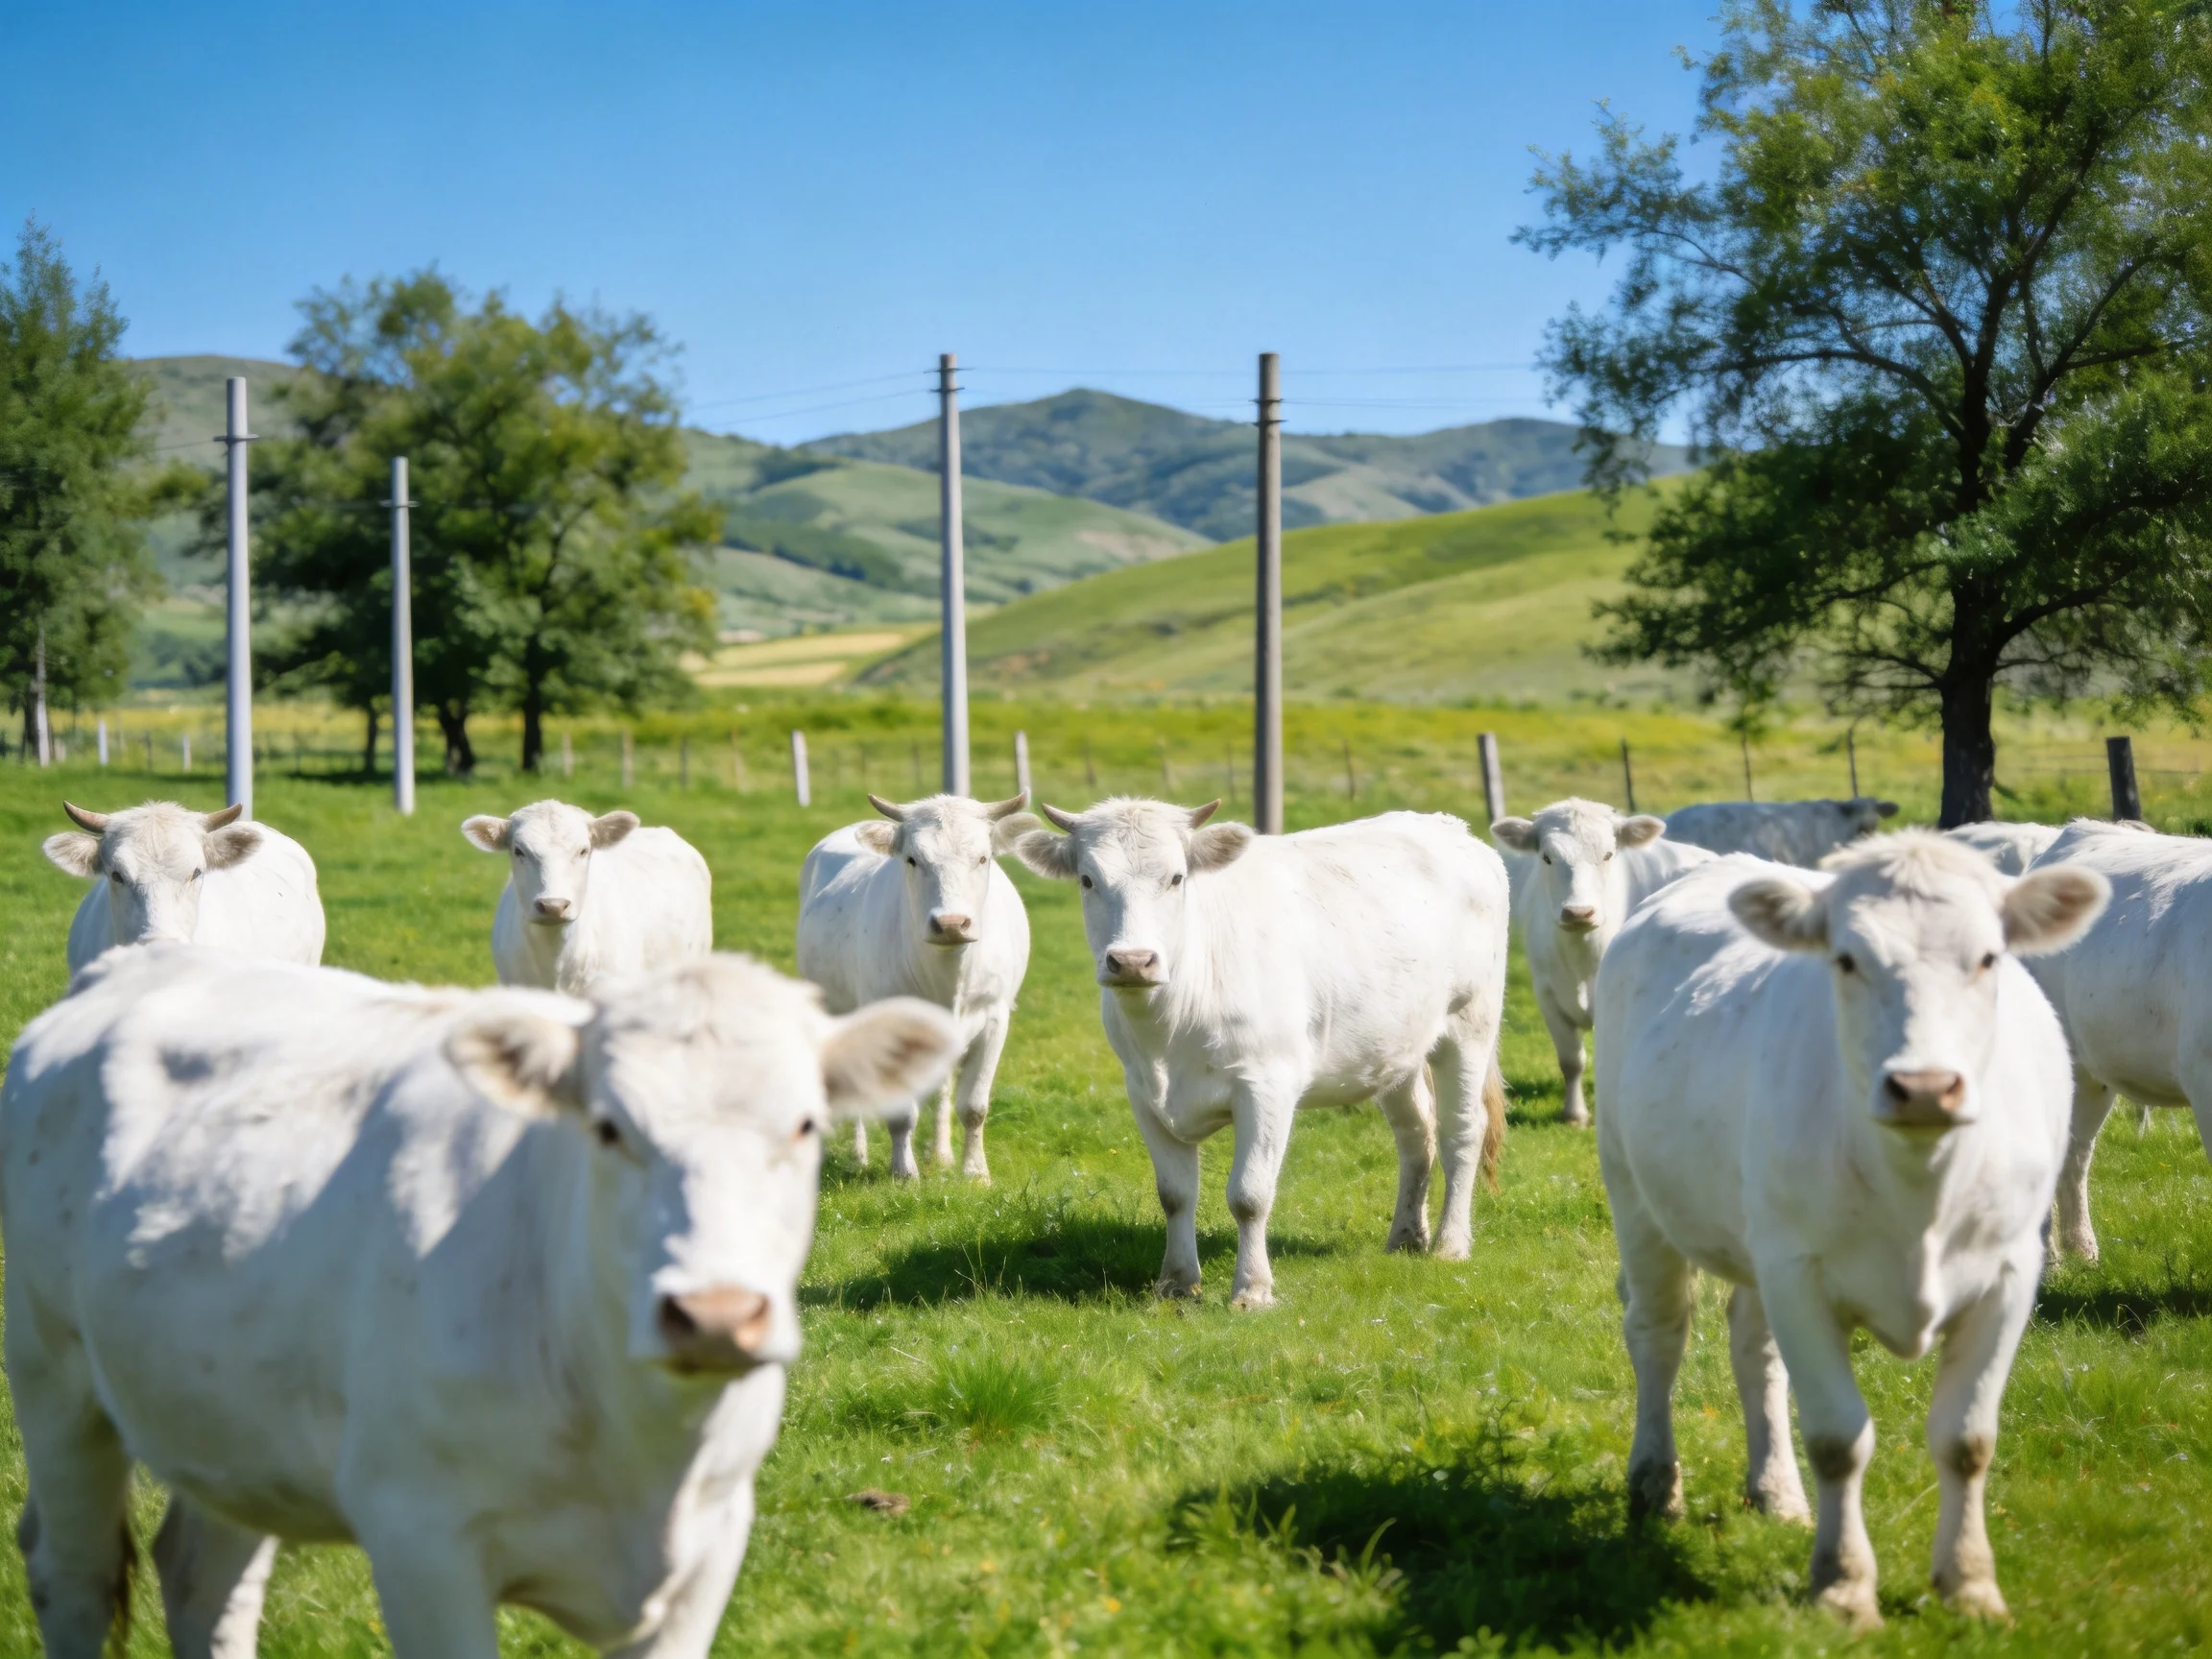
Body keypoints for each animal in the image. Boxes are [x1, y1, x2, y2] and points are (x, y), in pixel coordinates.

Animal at [0, 944, 958, 1659]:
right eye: (607, 1127)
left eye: (805, 1124)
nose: (716, 1314)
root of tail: (130, 965)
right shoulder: (420, 1541)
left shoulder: (712, 1544)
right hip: (53, 1378)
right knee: (72, 1574)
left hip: (227, 1419)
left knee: (203, 1579)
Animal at [797, 791, 1036, 1182]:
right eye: (912, 859)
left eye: (982, 857)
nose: (951, 923)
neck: (948, 975)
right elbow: (901, 1113)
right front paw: (903, 1171)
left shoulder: (995, 1018)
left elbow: (973, 1106)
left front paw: (974, 1171)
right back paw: (859, 1155)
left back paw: (940, 1155)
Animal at [1012, 799, 1511, 1308]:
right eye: (1088, 879)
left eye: (1176, 878)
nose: (1132, 961)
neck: (1168, 1031)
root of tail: (1449, 826)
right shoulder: (1143, 1093)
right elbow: (1174, 1194)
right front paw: (1175, 1284)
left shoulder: (1267, 1085)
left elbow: (1249, 1195)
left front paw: (1252, 1289)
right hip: (1395, 1048)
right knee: (1416, 1133)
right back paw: (1406, 1237)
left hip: (1469, 1024)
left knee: (1462, 1131)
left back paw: (1451, 1244)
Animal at [1490, 797, 1715, 1125]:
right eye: (1547, 857)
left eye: (1608, 854)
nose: (1578, 912)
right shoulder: (1547, 996)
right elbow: (1571, 1061)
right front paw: (1574, 1114)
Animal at [1594, 835, 2106, 1628]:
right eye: (1845, 959)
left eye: (1989, 957)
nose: (1925, 1087)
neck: (1918, 1184)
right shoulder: (1799, 1274)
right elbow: (1838, 1439)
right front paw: (1842, 1585)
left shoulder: (2009, 1276)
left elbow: (1968, 1439)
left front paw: (1969, 1584)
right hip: (1636, 1194)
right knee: (1658, 1333)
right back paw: (1655, 1484)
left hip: (1760, 1243)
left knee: (1753, 1346)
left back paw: (1775, 1490)